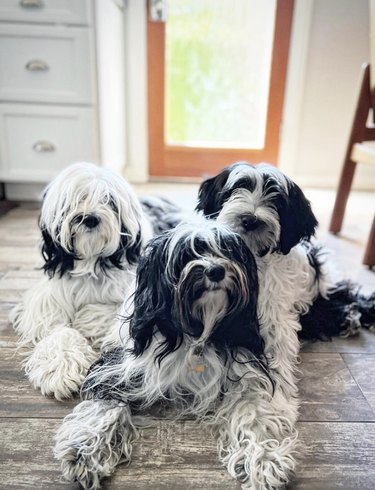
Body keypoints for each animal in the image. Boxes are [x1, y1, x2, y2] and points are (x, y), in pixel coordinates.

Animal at [9, 163, 181, 400]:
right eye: (75, 199)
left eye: (109, 200)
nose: (89, 218)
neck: (91, 261)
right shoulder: (48, 302)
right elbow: (59, 330)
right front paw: (61, 370)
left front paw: (86, 317)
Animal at [54, 221, 302, 490]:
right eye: (187, 255)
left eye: (228, 251)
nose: (215, 270)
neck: (199, 330)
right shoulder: (122, 366)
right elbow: (105, 405)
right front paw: (84, 450)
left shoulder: (246, 370)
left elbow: (253, 416)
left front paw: (265, 458)